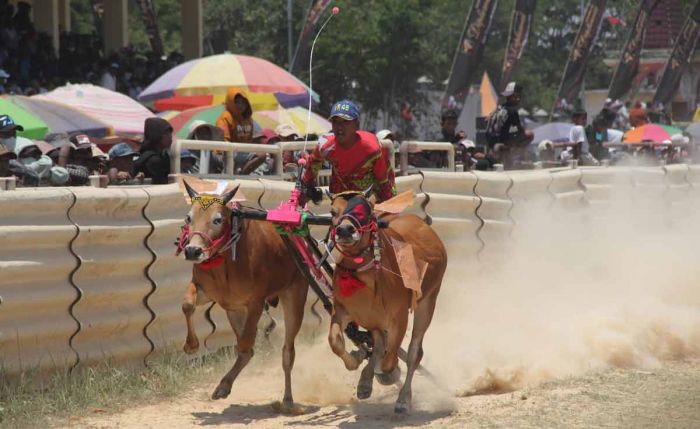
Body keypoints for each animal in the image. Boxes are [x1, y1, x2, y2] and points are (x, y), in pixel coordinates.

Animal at [180, 179, 306, 410]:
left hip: (295, 296)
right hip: (236, 311)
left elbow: (247, 342)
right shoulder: (208, 291)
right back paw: (224, 385)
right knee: (248, 351)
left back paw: (288, 399)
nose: (192, 250)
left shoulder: (256, 302)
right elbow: (187, 305)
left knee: (287, 352)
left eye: (218, 219)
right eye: (188, 217)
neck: (226, 261)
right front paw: (191, 345)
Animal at [328, 190, 448, 412]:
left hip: (427, 303)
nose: (345, 230)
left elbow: (389, 361)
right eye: (333, 211)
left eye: (366, 209)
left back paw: (403, 398)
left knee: (414, 353)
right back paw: (365, 382)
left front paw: (387, 377)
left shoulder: (399, 318)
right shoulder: (341, 310)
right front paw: (357, 364)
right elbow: (336, 342)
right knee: (380, 343)